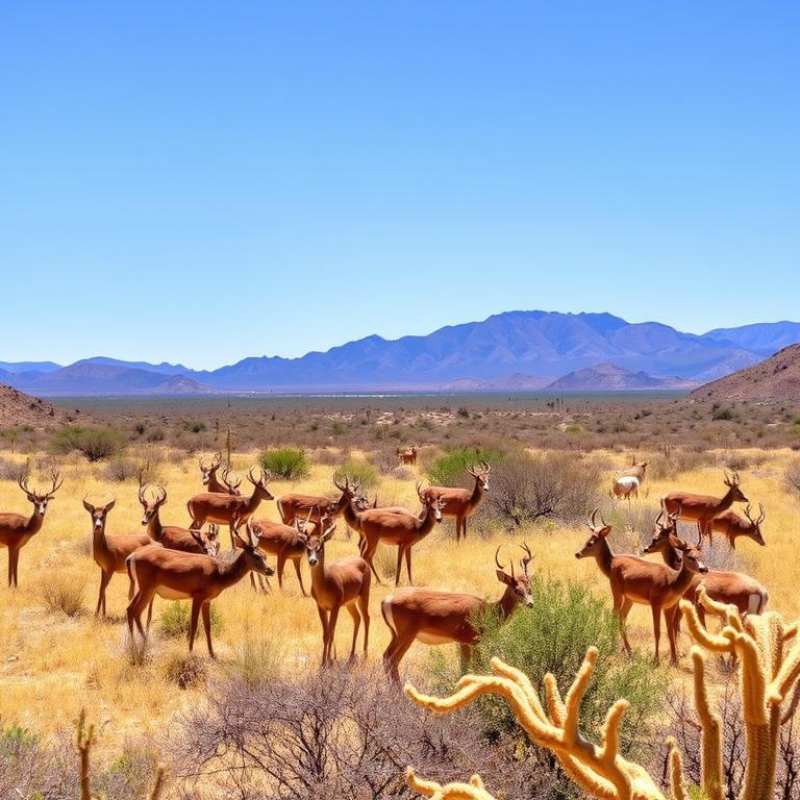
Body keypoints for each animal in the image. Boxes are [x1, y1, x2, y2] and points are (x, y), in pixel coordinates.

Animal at [126, 517, 273, 657]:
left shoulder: (207, 600)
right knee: (135, 610)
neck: (219, 574)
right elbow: (194, 624)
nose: (271, 570)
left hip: (144, 588)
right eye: (256, 555)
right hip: (147, 587)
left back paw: (138, 644)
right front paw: (190, 651)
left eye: (264, 555)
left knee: (131, 610)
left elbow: (208, 626)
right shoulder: (197, 595)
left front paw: (212, 654)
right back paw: (140, 645)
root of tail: (131, 557)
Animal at [295, 515, 371, 667]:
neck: (325, 585)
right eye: (307, 547)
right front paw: (323, 662)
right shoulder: (321, 606)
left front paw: (328, 662)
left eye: (320, 547)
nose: (313, 561)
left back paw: (365, 654)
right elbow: (326, 634)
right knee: (357, 618)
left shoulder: (335, 605)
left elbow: (331, 633)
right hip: (350, 602)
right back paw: (351, 655)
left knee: (367, 618)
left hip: (364, 594)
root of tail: (363, 560)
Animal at [381, 543, 535, 681]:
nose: (531, 604)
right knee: (392, 660)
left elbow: (467, 668)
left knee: (386, 657)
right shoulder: (470, 639)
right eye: (516, 590)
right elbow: (474, 667)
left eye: (530, 588)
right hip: (407, 634)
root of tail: (386, 600)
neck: (487, 610)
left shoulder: (466, 641)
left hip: (395, 634)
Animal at [575, 508, 708, 665]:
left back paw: (628, 650)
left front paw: (674, 661)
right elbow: (657, 631)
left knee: (621, 618)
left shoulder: (670, 607)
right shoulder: (656, 604)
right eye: (690, 556)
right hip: (617, 593)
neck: (672, 581)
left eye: (700, 555)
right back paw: (615, 648)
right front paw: (656, 660)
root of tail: (613, 562)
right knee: (614, 615)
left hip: (629, 599)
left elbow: (670, 632)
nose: (577, 554)